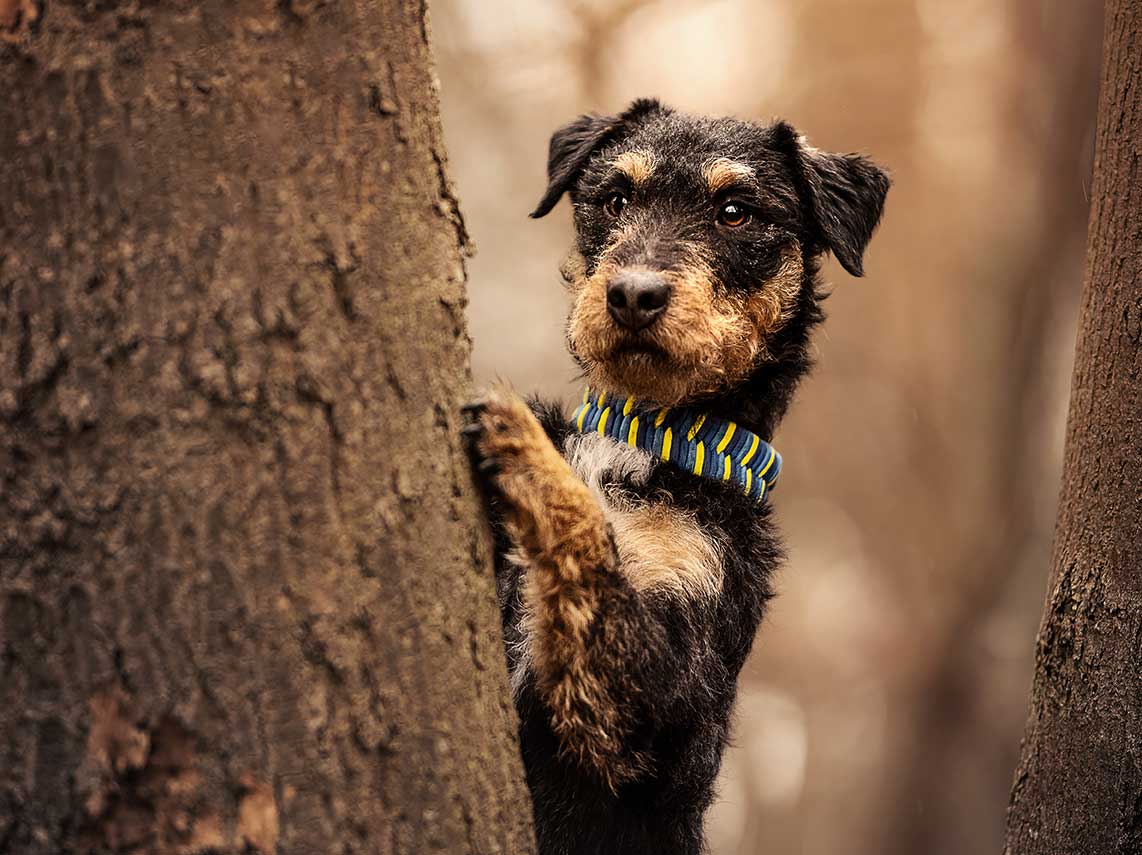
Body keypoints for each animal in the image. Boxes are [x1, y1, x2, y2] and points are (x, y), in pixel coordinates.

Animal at [459, 98, 886, 853]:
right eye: (616, 199)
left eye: (735, 212)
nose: (633, 294)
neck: (645, 434)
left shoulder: (648, 712)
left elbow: (592, 548)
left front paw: (519, 436)